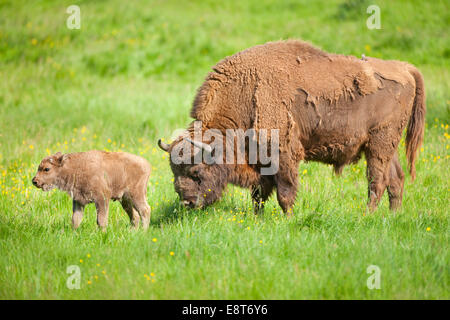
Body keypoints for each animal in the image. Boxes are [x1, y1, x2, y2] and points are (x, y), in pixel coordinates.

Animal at [158, 40, 426, 215]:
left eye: (196, 171)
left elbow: (285, 192)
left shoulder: (284, 155)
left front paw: (288, 218)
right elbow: (258, 194)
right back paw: (392, 215)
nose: (187, 203)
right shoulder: (260, 161)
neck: (245, 92)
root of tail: (404, 68)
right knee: (396, 179)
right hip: (385, 146)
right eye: (174, 171)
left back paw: (367, 215)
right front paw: (257, 219)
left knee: (377, 181)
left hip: (380, 144)